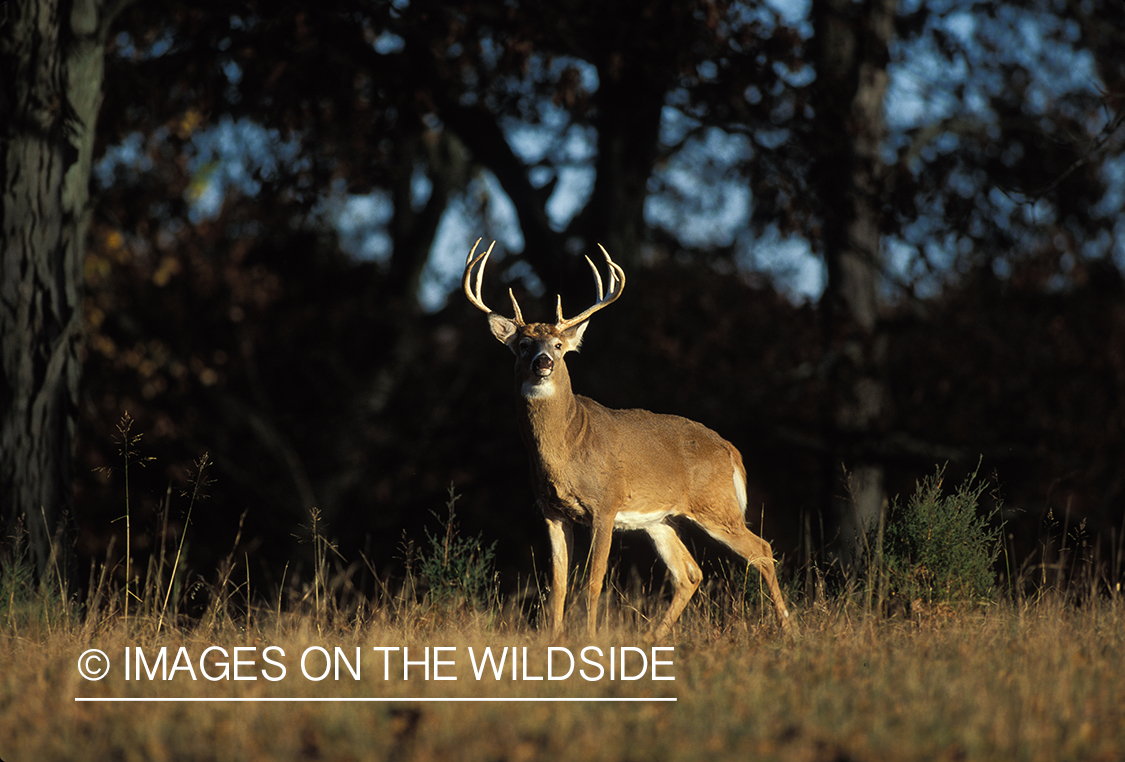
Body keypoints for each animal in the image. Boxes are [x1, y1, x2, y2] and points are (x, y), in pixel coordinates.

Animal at [463, 239, 792, 639]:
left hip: (716, 505)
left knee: (762, 549)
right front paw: (553, 639)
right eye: (524, 343)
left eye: (558, 345)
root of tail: (731, 451)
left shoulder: (605, 504)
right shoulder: (551, 510)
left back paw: (790, 630)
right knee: (690, 572)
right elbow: (558, 582)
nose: (543, 363)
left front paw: (588, 638)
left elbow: (593, 581)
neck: (569, 445)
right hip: (660, 520)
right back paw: (652, 638)